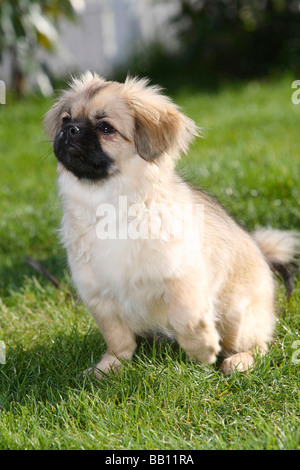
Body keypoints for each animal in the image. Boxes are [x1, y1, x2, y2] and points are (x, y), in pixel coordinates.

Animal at [43, 70, 298, 378]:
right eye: (66, 119)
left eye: (105, 128)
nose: (71, 130)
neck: (107, 206)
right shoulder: (99, 296)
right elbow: (117, 338)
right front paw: (109, 368)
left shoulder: (181, 278)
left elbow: (186, 318)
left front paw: (203, 350)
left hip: (236, 314)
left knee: (260, 343)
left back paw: (238, 360)